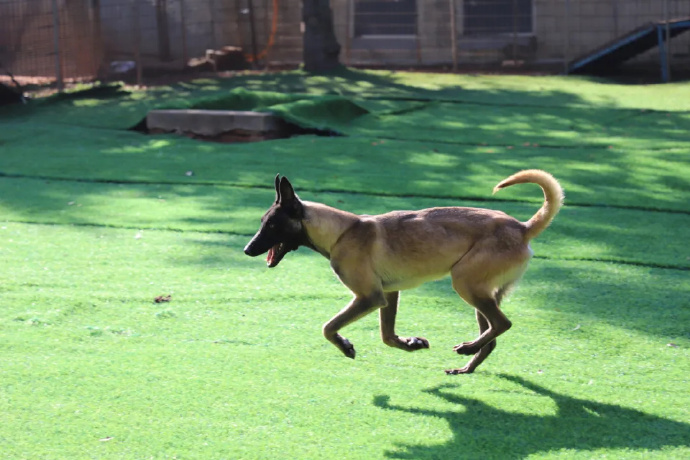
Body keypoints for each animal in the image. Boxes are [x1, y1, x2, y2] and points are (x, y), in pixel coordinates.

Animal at [242, 169, 560, 374]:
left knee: (503, 323)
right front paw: (412, 344)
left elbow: (328, 327)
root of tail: (522, 228)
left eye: (271, 224)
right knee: (492, 335)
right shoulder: (389, 294)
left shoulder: (369, 297)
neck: (342, 232)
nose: (247, 249)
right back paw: (468, 365)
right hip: (481, 293)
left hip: (466, 284)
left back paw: (468, 349)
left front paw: (345, 346)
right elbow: (387, 335)